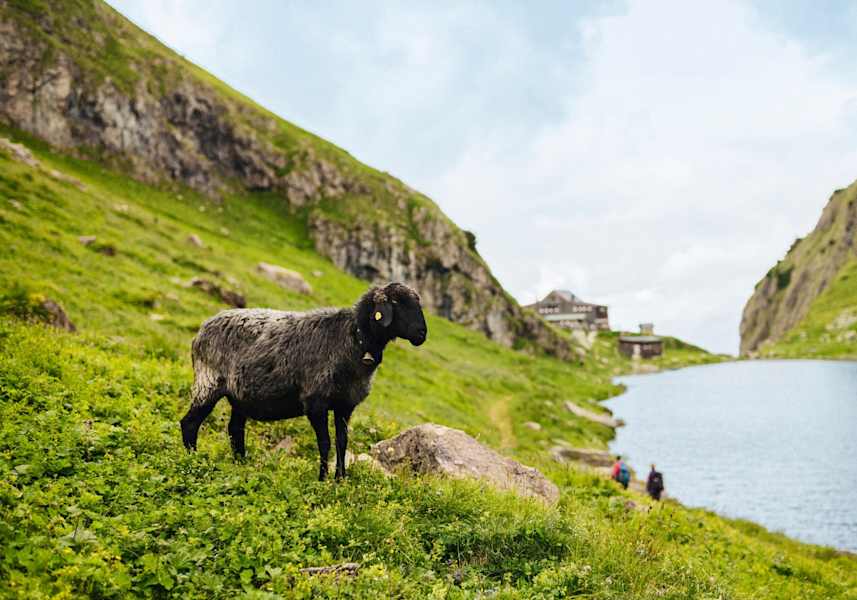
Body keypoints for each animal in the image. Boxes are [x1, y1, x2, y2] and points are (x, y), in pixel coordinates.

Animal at [180, 282, 428, 480]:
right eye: (396, 302)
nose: (422, 334)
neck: (353, 339)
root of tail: (202, 329)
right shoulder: (315, 402)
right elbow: (324, 442)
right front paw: (322, 479)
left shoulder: (345, 404)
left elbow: (342, 442)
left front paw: (340, 479)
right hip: (208, 382)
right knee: (190, 423)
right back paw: (193, 460)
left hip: (239, 395)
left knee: (235, 428)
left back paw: (241, 464)